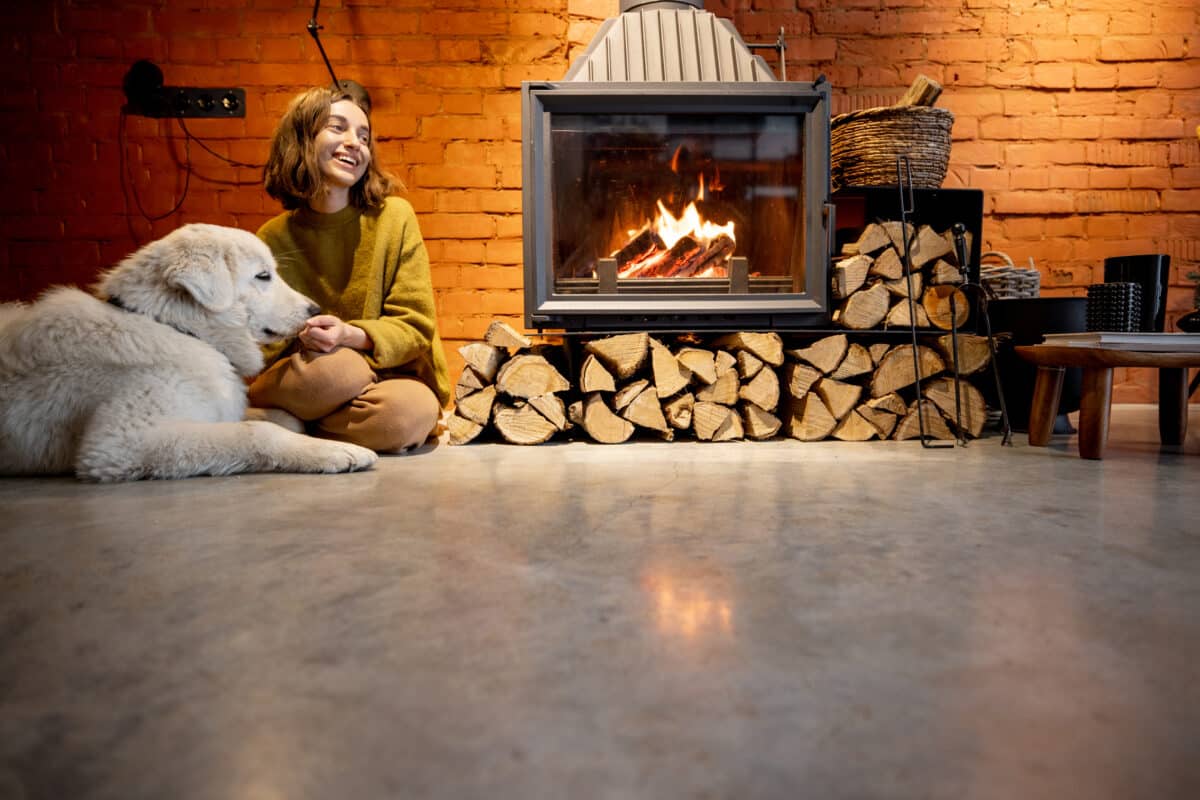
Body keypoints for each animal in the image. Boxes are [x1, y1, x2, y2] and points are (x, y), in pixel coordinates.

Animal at [0, 221, 374, 479]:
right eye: (263, 276)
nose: (315, 310)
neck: (176, 327)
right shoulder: (121, 443)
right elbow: (257, 432)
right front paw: (337, 451)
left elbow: (273, 417)